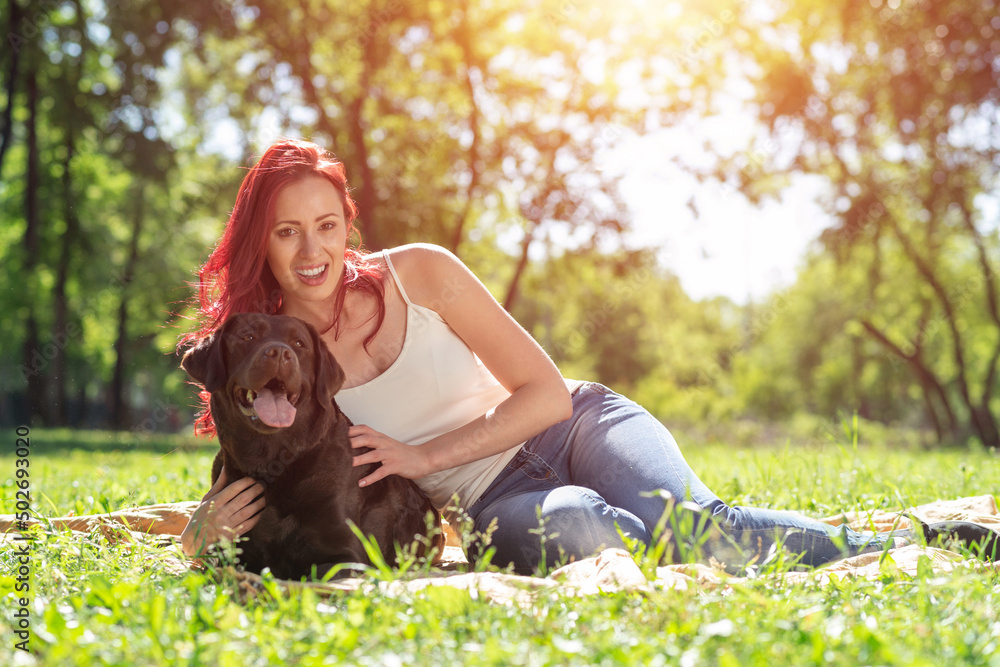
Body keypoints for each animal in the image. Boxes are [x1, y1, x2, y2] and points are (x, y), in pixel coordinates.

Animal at [181, 314, 446, 580]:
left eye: (299, 344)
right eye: (248, 337)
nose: (279, 352)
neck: (273, 461)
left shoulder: (347, 556)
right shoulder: (230, 554)